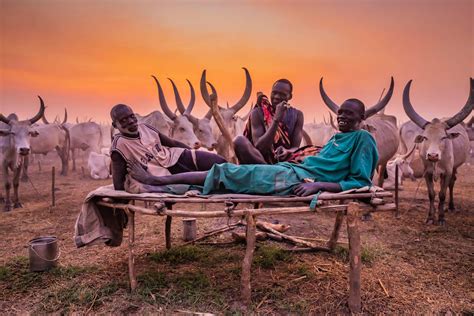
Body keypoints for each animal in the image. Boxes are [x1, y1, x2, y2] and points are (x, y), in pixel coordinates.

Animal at [402, 78, 472, 225]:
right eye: (425, 137)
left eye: (443, 137)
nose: (433, 155)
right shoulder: (427, 173)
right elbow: (431, 194)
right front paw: (430, 217)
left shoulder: (447, 171)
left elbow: (442, 194)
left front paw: (441, 218)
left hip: (454, 168)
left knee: (452, 183)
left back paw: (450, 207)